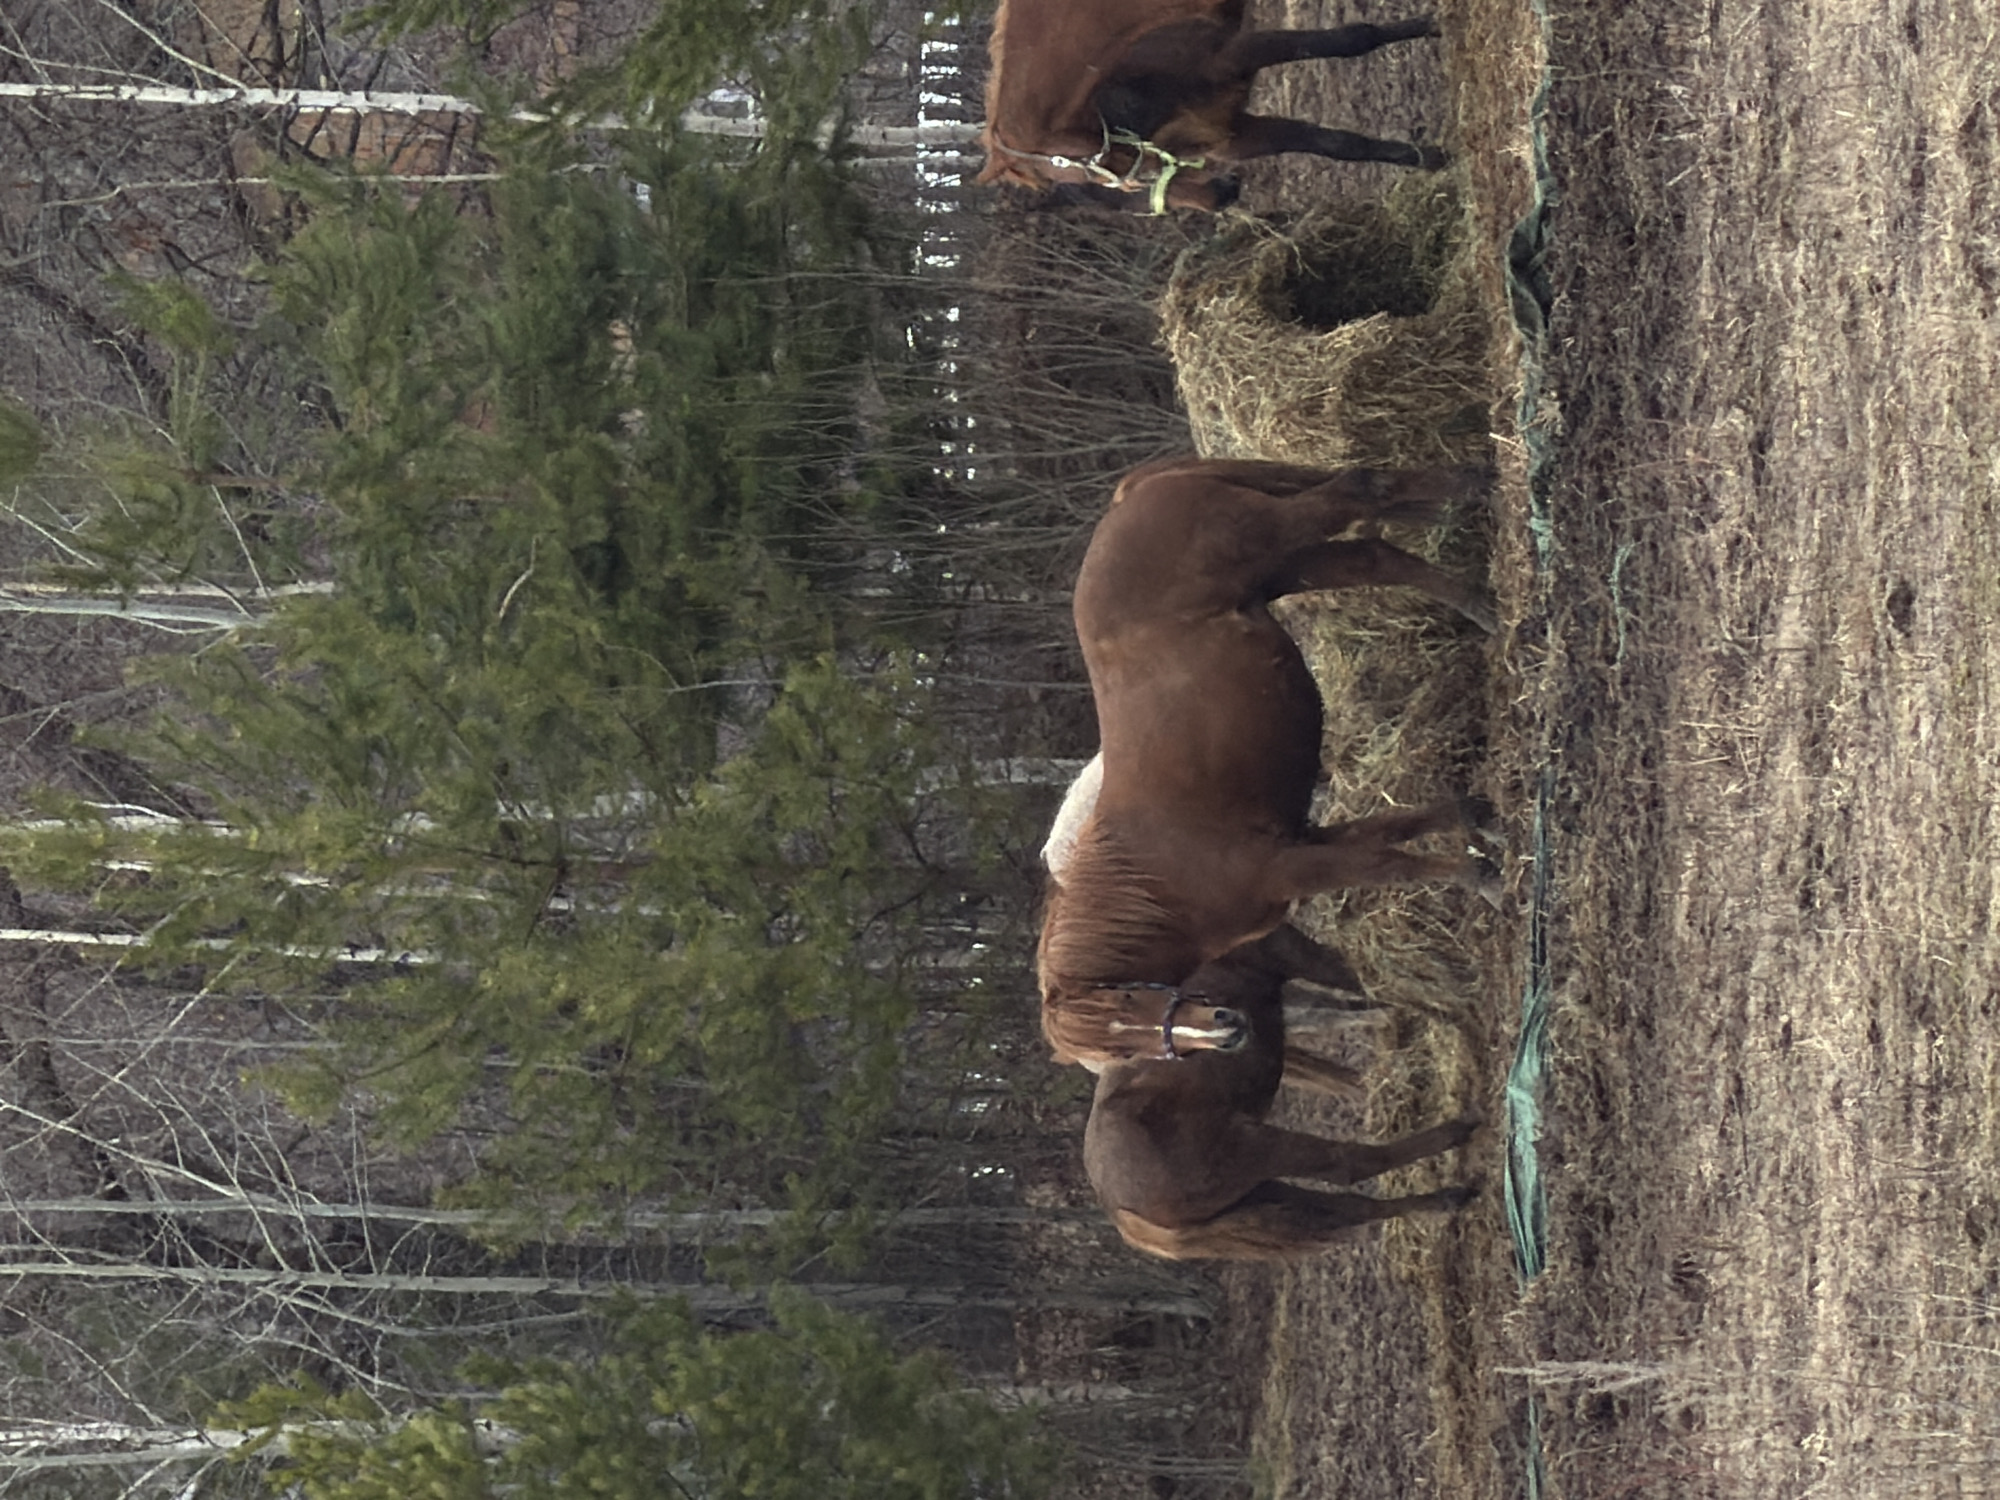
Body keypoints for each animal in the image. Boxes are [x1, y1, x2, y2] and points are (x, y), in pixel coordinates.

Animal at [980, 0, 1446, 212]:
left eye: (1097, 179)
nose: (1223, 194)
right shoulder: (1231, 134)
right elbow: (1335, 145)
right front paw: (1428, 159)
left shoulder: (1231, 54)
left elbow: (1352, 39)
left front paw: (1430, 26)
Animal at [1039, 455, 1496, 1067]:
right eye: (1124, 1055)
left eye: (1127, 999)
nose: (1225, 1029)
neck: (1159, 883)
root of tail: (1129, 494)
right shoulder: (1305, 841)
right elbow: (1391, 832)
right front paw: (1475, 818)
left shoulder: (1289, 864)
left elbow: (1387, 866)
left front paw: (1482, 877)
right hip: (1283, 569)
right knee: (1370, 554)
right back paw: (1478, 591)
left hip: (1271, 535)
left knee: (1356, 492)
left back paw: (1471, 501)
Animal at [1084, 924, 1480, 1260]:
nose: (1227, 1022)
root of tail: (1124, 1215)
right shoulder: (1290, 953)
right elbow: (1361, 985)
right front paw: (1456, 1009)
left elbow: (1351, 1004)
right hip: (1259, 1148)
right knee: (1350, 1165)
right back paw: (1461, 1132)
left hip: (1256, 1194)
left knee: (1343, 1208)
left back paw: (1451, 1198)